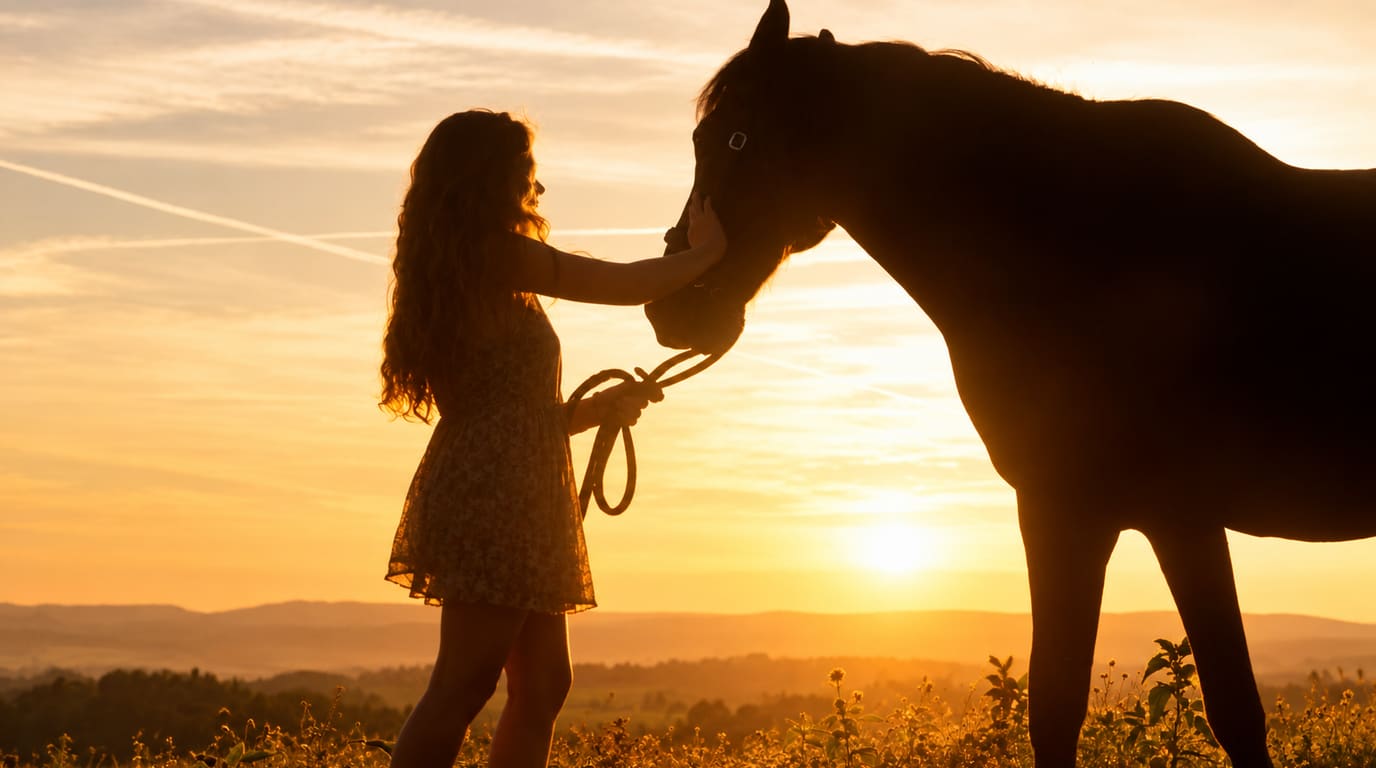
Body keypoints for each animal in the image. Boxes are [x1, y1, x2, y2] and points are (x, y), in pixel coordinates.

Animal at [644, 2, 1376, 766]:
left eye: (736, 137)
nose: (672, 308)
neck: (1083, 253)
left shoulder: (1116, 513)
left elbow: (1162, 708)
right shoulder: (1134, 517)